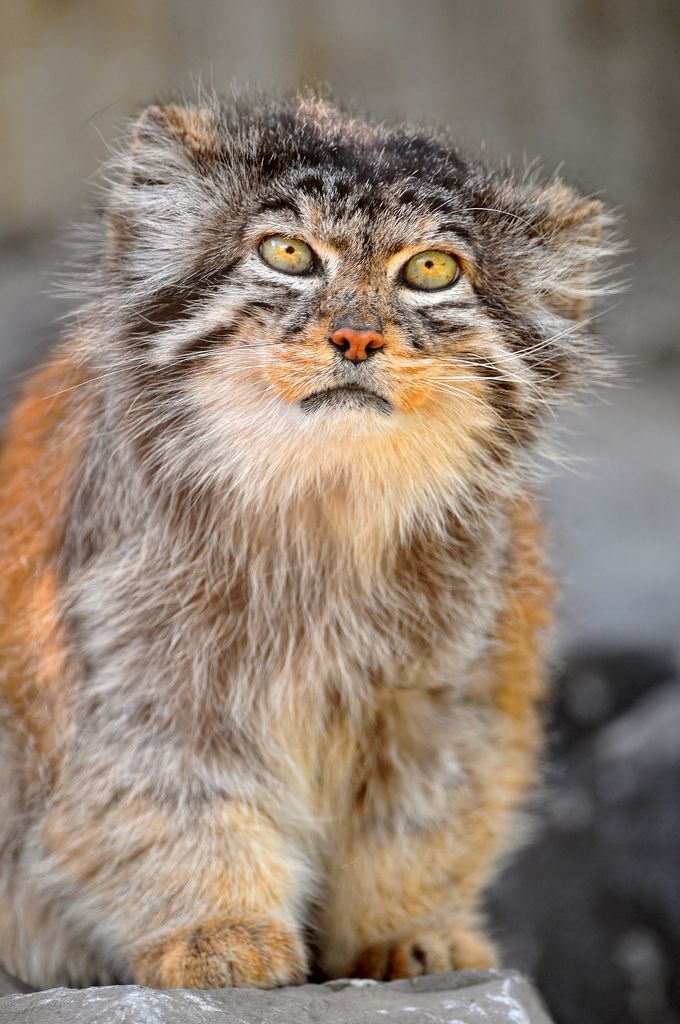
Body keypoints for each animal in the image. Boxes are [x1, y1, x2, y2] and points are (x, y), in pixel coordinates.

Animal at [0, 92, 614, 987]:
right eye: (286, 253)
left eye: (432, 270)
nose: (355, 338)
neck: (325, 506)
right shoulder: (140, 692)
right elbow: (172, 812)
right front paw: (219, 928)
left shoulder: (451, 693)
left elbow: (424, 824)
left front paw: (413, 930)